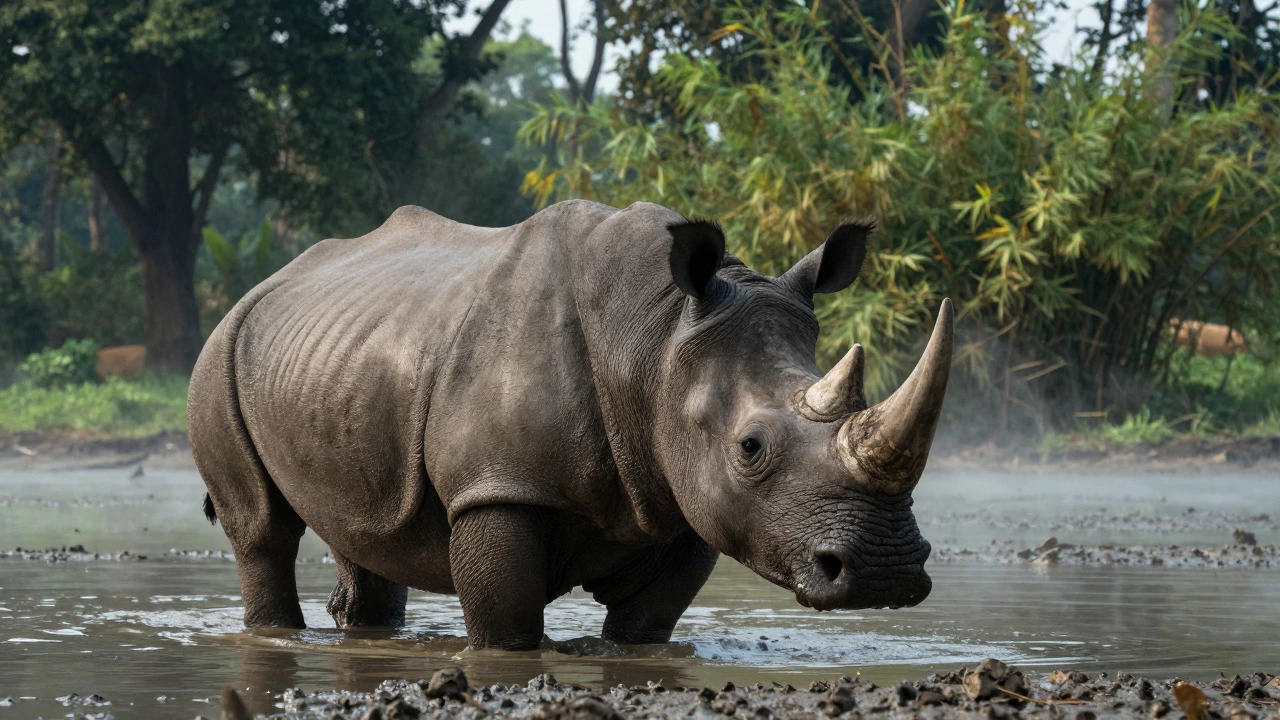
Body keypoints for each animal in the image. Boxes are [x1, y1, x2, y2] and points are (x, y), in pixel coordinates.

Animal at [189, 200, 953, 650]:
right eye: (751, 447)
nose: (885, 574)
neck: (655, 340)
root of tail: (267, 281)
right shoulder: (498, 486)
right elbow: (508, 626)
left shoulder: (683, 499)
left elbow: (647, 624)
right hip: (219, 351)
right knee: (261, 531)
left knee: (362, 526)